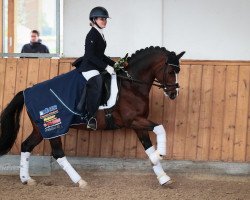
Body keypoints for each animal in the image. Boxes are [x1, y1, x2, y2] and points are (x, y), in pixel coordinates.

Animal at [0, 46, 186, 188]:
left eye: (178, 71)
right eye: (171, 71)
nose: (173, 94)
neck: (131, 85)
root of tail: (27, 91)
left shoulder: (138, 124)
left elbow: (148, 147)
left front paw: (163, 176)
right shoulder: (134, 120)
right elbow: (160, 128)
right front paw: (160, 155)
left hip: (41, 130)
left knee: (26, 145)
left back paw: (26, 179)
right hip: (54, 128)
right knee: (58, 153)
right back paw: (80, 181)